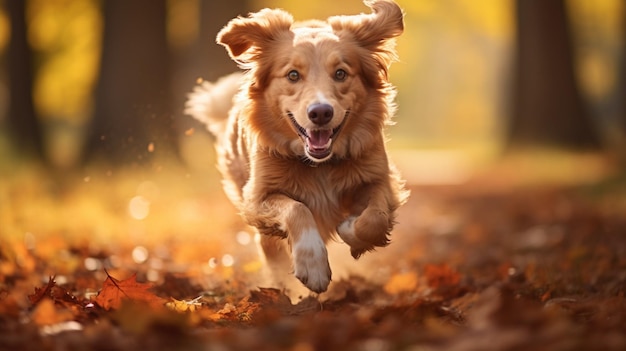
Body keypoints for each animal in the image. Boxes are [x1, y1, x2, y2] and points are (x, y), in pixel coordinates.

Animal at [185, 0, 408, 294]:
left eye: (340, 73)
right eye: (293, 75)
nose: (321, 112)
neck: (319, 164)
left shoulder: (379, 178)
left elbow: (375, 218)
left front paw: (350, 229)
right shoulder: (258, 197)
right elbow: (297, 209)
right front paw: (312, 264)